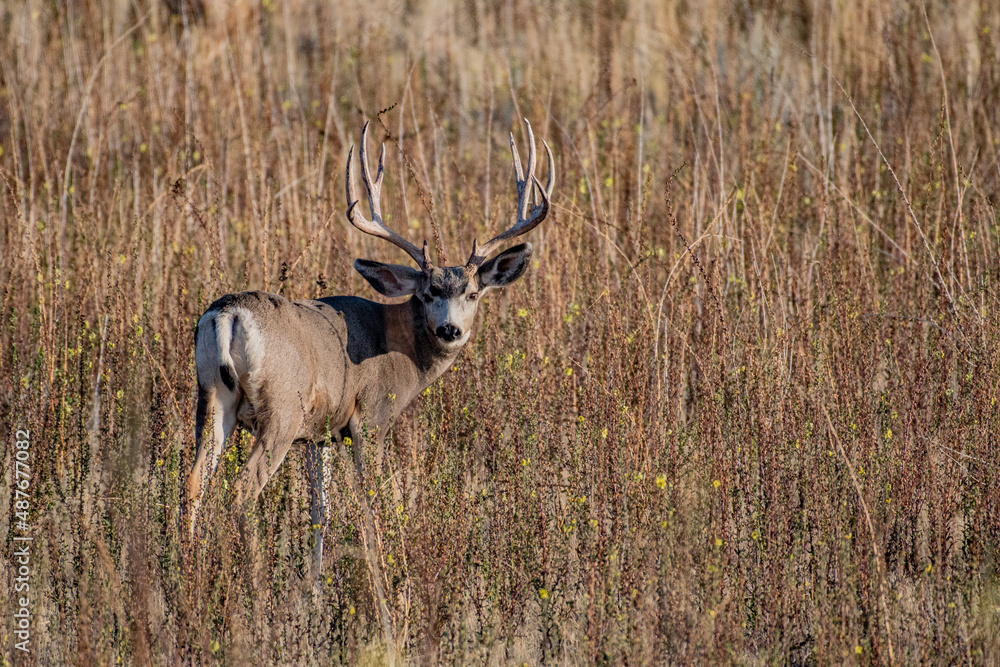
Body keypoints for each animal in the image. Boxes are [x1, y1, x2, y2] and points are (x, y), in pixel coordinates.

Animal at [184, 118, 554, 620]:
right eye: (427, 292)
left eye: (474, 293)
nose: (450, 330)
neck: (397, 344)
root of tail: (227, 314)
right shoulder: (370, 419)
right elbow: (373, 503)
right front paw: (389, 595)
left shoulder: (318, 433)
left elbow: (321, 513)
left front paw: (317, 592)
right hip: (279, 412)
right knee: (241, 493)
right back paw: (257, 598)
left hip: (212, 400)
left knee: (193, 483)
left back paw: (184, 574)